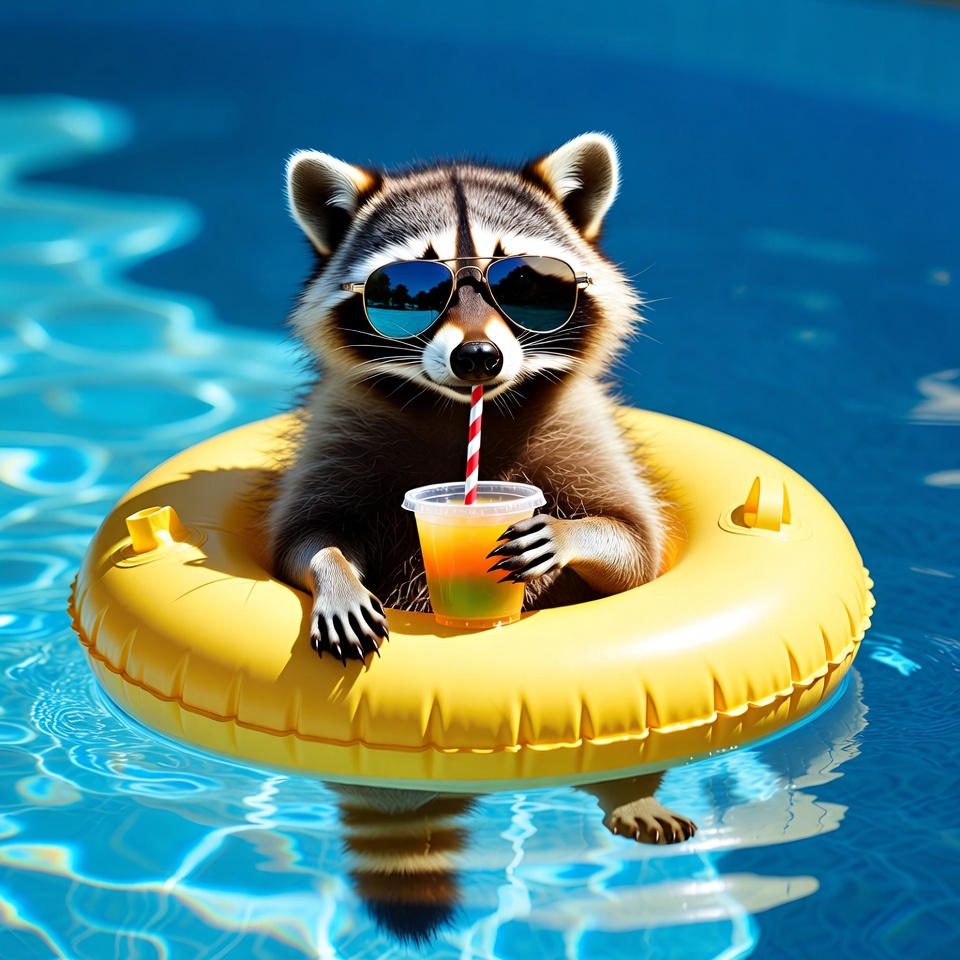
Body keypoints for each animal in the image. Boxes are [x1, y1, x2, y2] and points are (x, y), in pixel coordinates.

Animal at [267, 133, 666, 662]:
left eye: (523, 280)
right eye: (415, 288)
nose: (478, 356)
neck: (459, 412)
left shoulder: (580, 424)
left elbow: (636, 547)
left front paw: (566, 532)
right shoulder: (338, 426)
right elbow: (303, 539)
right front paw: (335, 573)